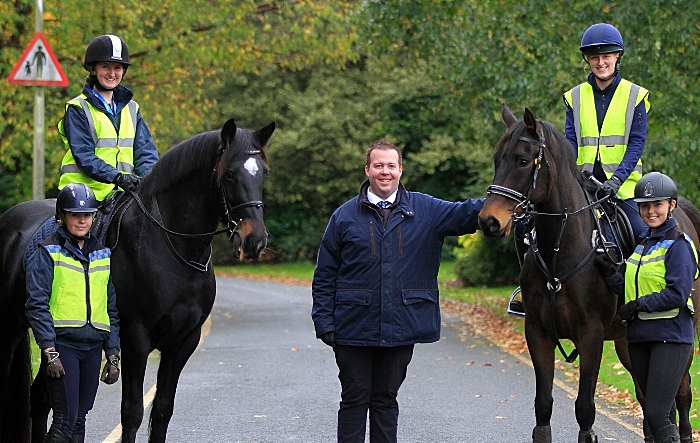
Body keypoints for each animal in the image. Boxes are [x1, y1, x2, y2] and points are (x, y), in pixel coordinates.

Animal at [478, 106, 696, 442]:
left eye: (523, 160)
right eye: (496, 159)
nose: (488, 221)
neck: (561, 249)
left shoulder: (591, 336)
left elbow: (584, 408)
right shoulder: (537, 333)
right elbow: (543, 404)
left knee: (681, 393)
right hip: (627, 343)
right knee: (648, 397)